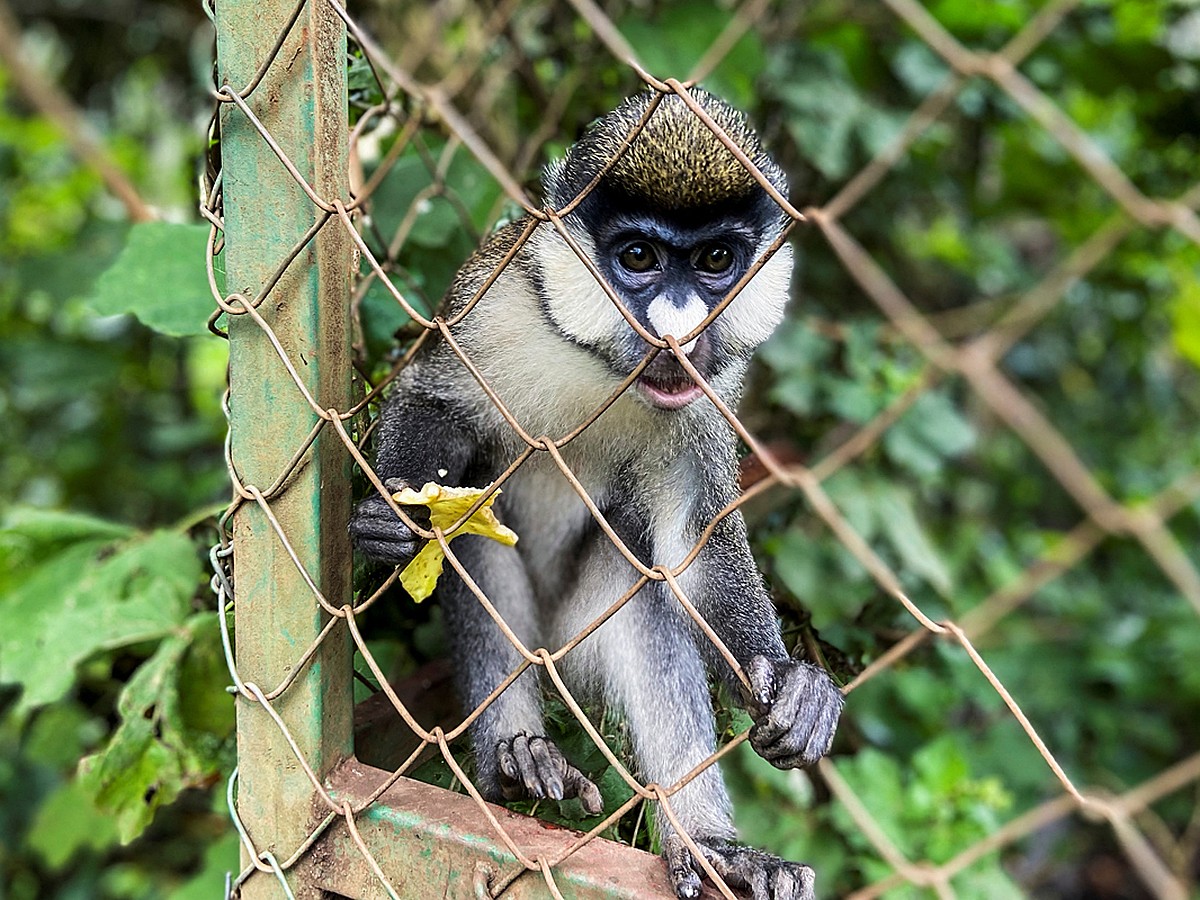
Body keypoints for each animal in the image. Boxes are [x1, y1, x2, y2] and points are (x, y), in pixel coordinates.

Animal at [350, 86, 844, 900]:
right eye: (637, 257)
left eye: (716, 260)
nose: (677, 332)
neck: (606, 368)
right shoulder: (496, 301)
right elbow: (435, 399)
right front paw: (392, 520)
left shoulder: (708, 397)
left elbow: (689, 549)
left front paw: (792, 685)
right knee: (476, 534)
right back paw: (516, 756)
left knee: (643, 586)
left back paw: (710, 846)